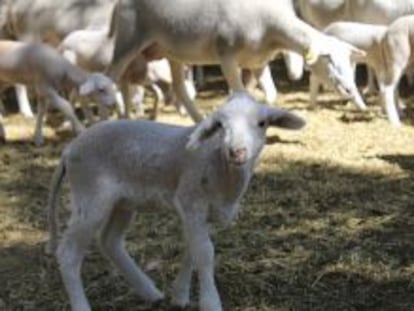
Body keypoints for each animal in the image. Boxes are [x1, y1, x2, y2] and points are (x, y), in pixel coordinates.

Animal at [46, 92, 304, 311]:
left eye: (262, 123)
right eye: (220, 126)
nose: (237, 152)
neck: (220, 167)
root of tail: (69, 150)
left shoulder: (204, 214)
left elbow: (192, 248)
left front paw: (179, 296)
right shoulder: (191, 200)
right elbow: (205, 252)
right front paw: (210, 303)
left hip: (122, 201)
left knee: (110, 241)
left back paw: (149, 292)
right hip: (90, 196)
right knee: (68, 253)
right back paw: (83, 304)